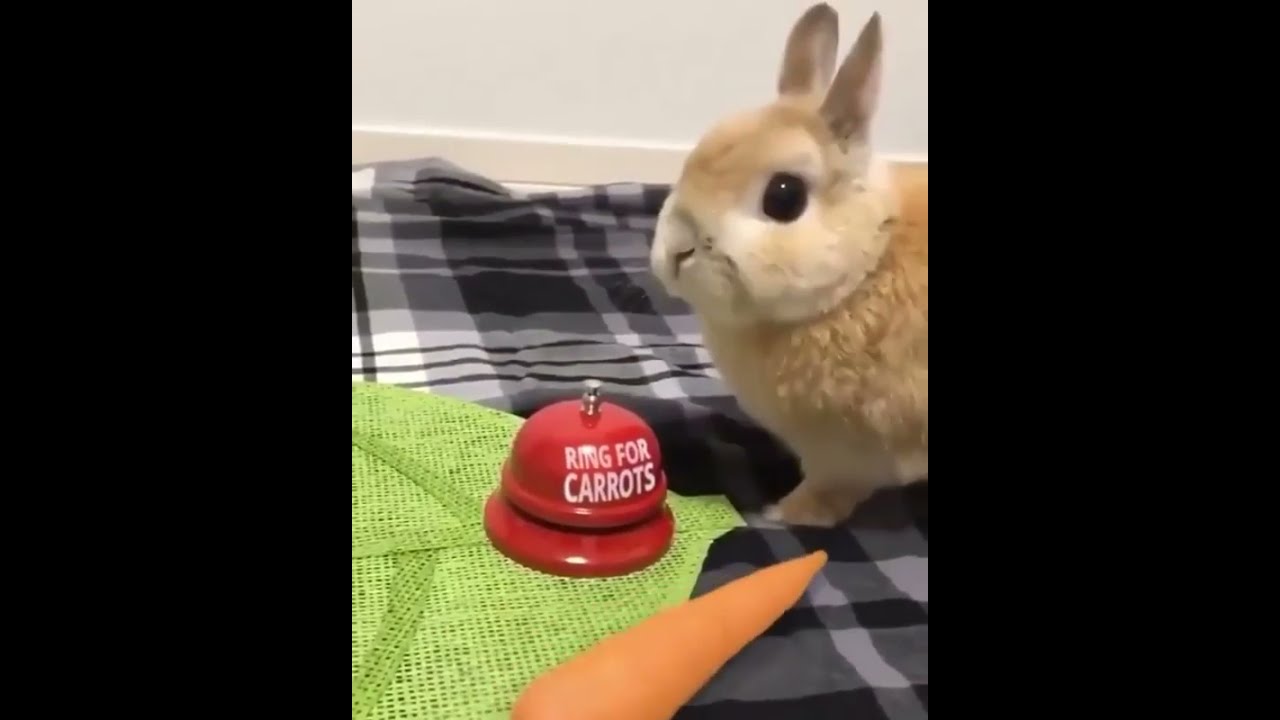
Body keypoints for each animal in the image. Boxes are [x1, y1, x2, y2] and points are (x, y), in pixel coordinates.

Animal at [648, 4, 927, 527]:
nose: (676, 250)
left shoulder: (849, 458)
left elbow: (829, 494)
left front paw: (784, 515)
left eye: (784, 197)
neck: (864, 271)